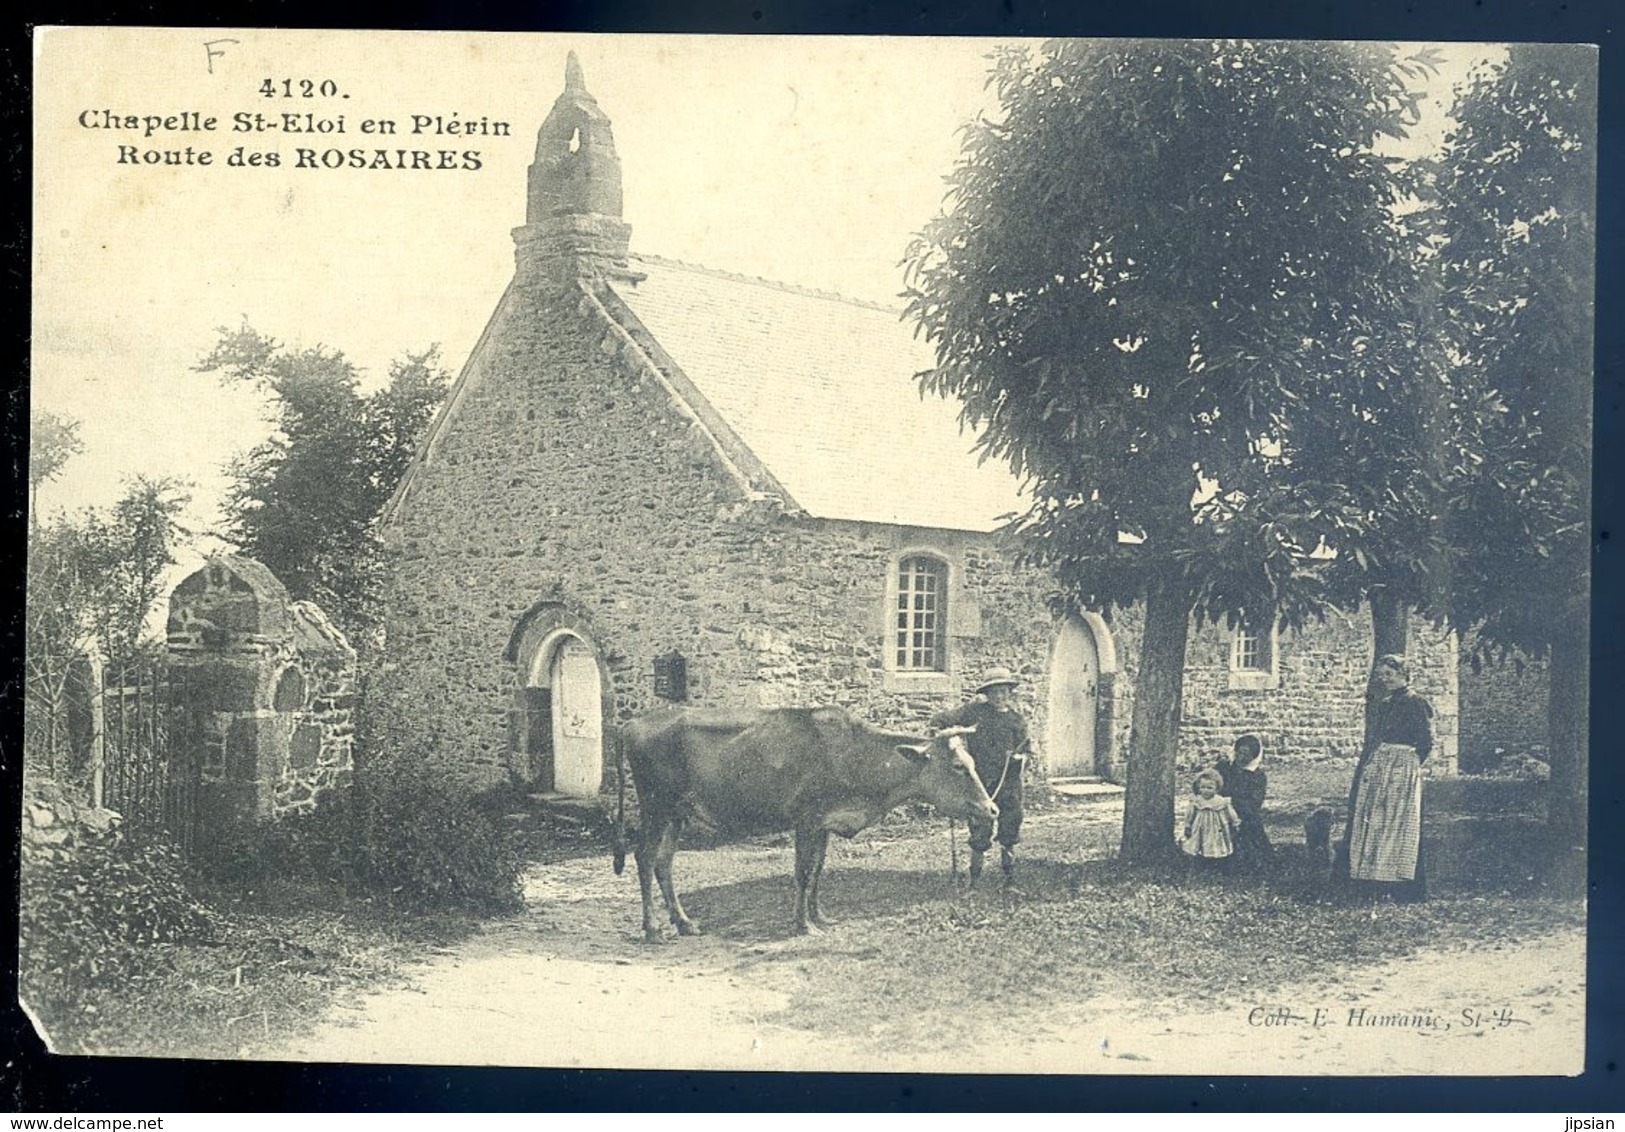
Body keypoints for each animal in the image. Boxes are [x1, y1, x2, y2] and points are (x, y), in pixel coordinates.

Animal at [611, 708, 988, 935]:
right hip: (655, 806)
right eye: (958, 766)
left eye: (973, 761)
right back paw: (653, 928)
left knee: (663, 863)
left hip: (677, 813)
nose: (991, 809)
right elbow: (804, 873)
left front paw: (820, 916)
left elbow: (819, 870)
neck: (852, 756)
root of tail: (631, 723)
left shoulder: (824, 824)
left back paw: (684, 922)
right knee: (644, 857)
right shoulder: (806, 819)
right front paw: (803, 925)